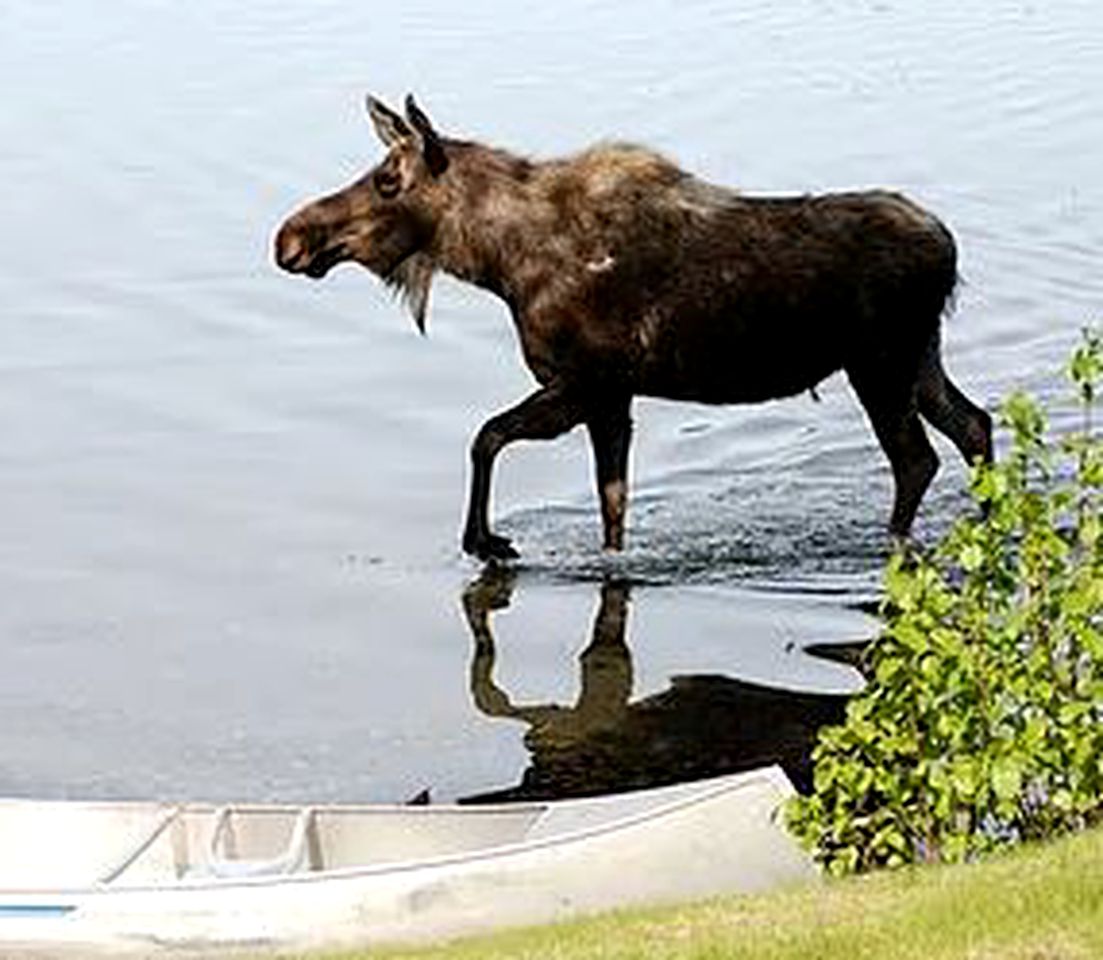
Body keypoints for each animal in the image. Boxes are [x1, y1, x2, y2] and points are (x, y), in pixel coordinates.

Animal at [273, 93, 992, 560]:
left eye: (387, 180)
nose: (290, 238)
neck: (498, 263)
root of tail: (949, 248)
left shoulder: (583, 384)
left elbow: (486, 436)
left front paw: (484, 540)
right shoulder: (612, 397)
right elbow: (611, 504)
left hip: (879, 362)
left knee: (917, 458)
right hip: (919, 357)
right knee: (973, 426)